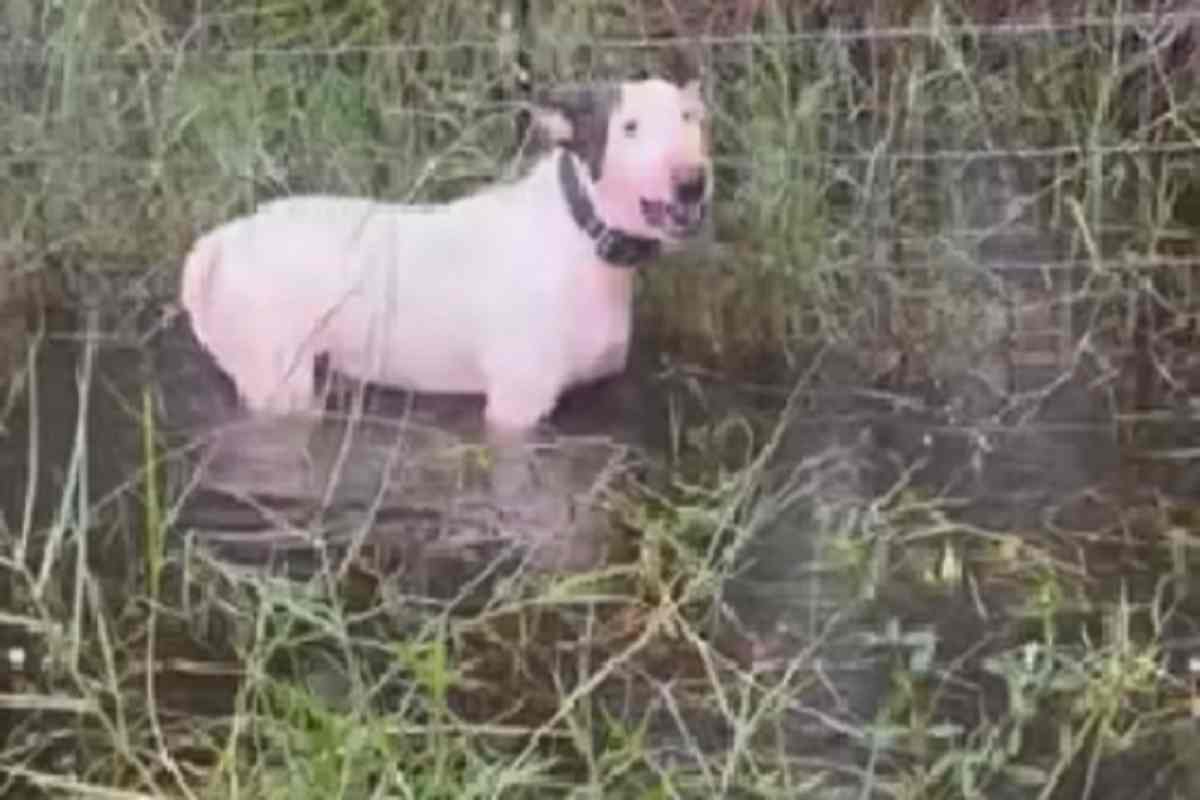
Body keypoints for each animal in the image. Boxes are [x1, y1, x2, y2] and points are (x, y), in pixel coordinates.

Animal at [180, 77, 710, 441]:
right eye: (629, 127)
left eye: (690, 119)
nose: (692, 180)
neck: (581, 236)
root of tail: (220, 241)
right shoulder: (516, 407)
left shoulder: (597, 391)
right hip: (279, 382)